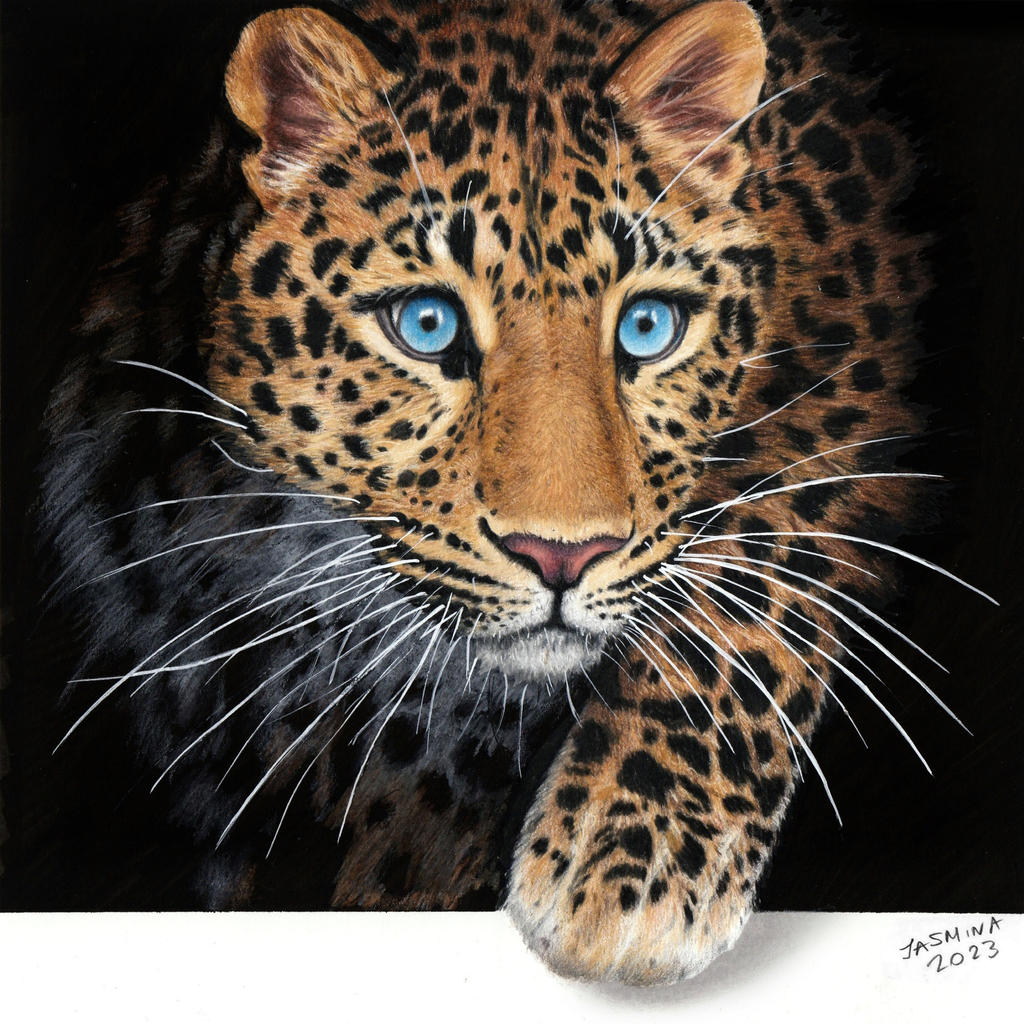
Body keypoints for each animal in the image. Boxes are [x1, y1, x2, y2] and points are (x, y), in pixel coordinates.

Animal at [27, 0, 980, 986]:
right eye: (425, 324)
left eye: (649, 327)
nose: (562, 557)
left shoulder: (851, 363)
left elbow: (751, 574)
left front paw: (630, 872)